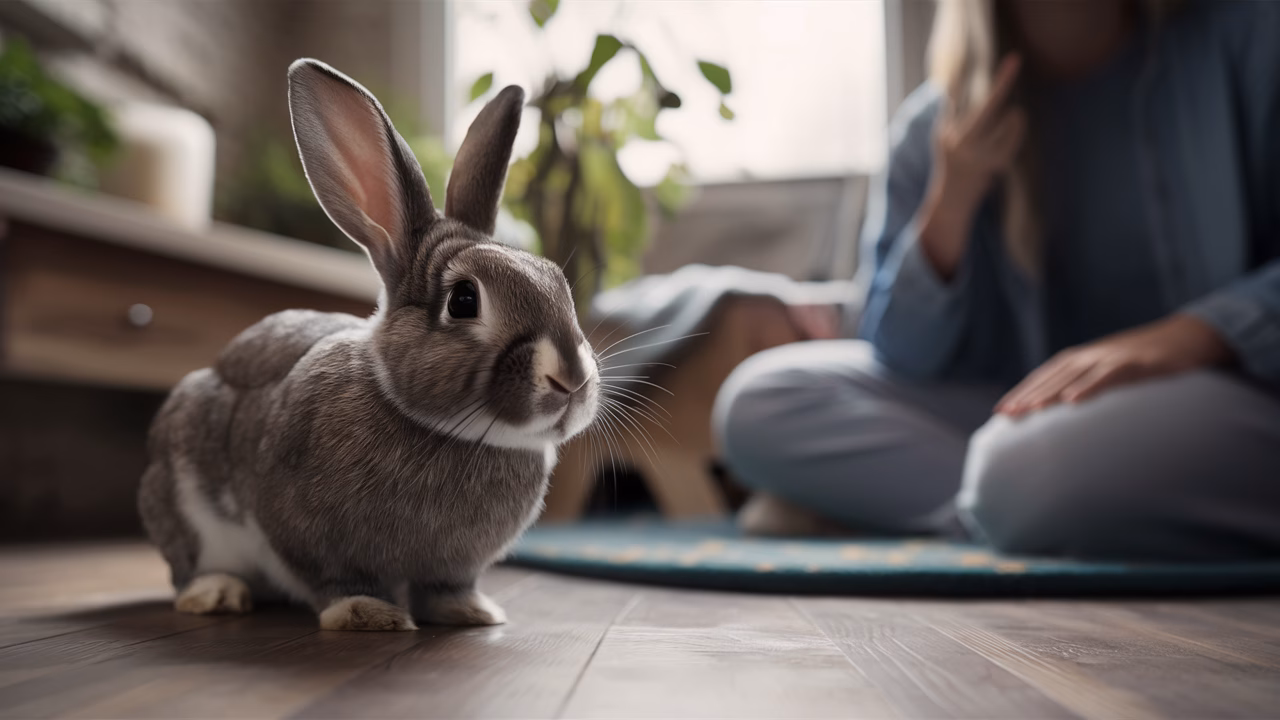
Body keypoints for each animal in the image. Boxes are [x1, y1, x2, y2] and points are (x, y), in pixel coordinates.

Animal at [137, 59, 600, 631]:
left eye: (557, 281)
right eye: (464, 300)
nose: (572, 379)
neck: (452, 432)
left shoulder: (453, 565)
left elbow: (447, 586)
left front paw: (471, 612)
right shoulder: (305, 534)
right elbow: (337, 580)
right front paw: (367, 614)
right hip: (181, 496)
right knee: (187, 567)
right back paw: (216, 594)